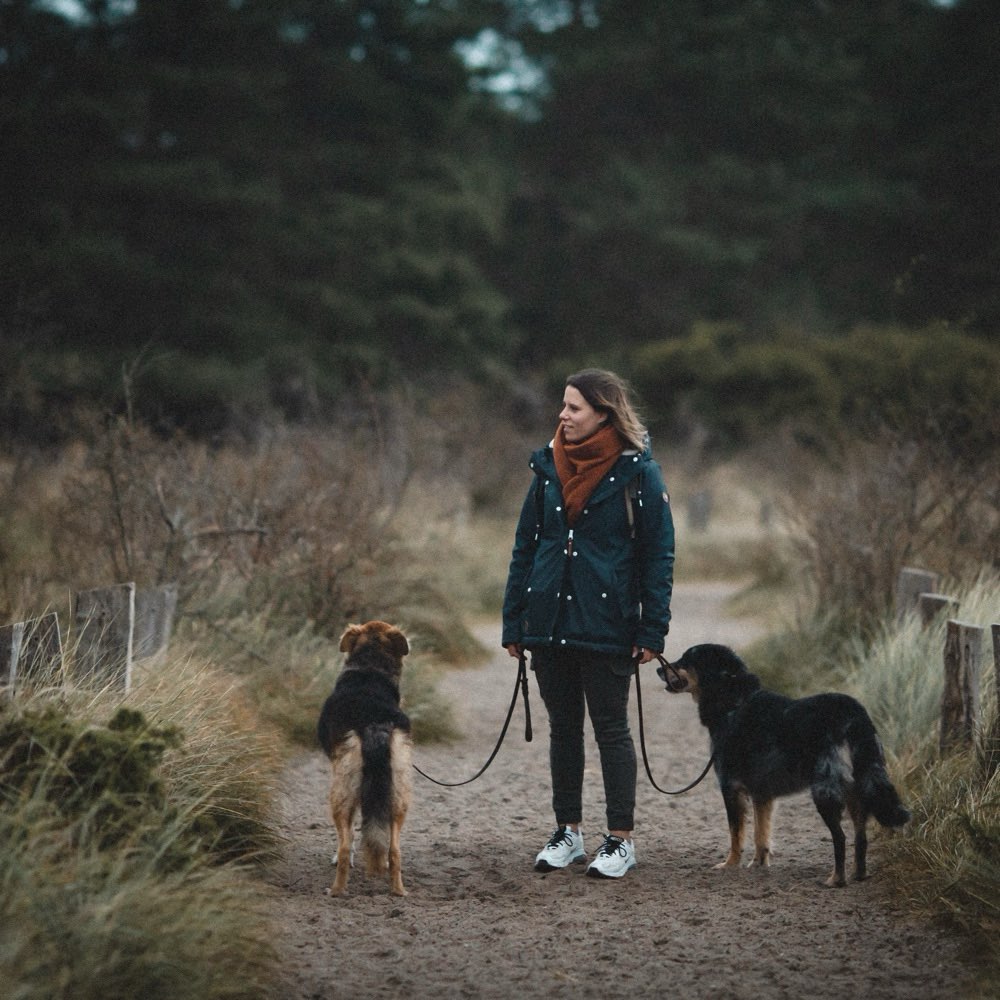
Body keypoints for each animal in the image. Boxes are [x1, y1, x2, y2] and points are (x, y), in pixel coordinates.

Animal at [320, 620, 414, 896]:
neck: (370, 670)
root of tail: (373, 723)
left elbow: (349, 836)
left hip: (341, 792)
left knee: (344, 846)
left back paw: (336, 890)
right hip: (399, 795)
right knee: (395, 850)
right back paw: (398, 890)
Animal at [660, 644, 912, 888]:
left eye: (686, 660)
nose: (658, 670)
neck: (734, 703)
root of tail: (854, 714)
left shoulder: (731, 788)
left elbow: (736, 833)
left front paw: (730, 864)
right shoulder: (762, 794)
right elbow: (760, 834)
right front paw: (758, 864)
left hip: (825, 791)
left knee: (840, 838)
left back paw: (836, 880)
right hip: (856, 790)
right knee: (861, 837)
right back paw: (858, 874)